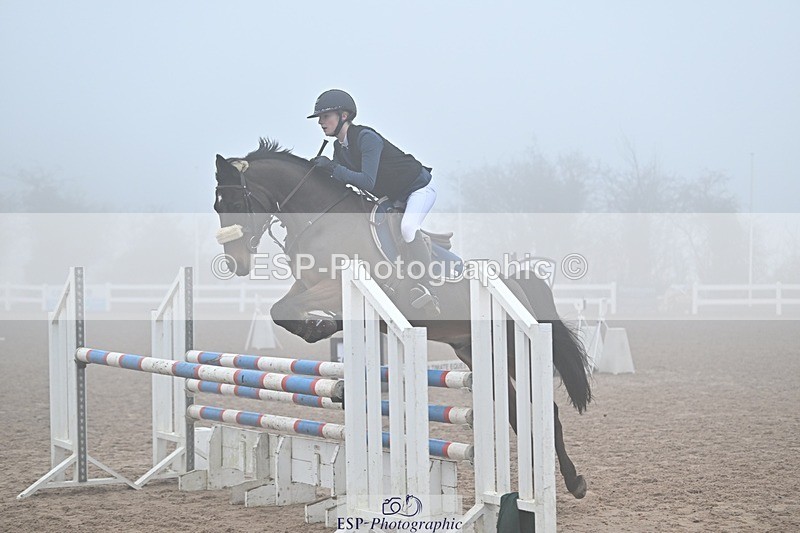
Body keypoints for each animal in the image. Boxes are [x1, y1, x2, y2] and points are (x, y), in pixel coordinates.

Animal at [212, 138, 591, 499]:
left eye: (235, 204)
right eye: (218, 207)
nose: (236, 264)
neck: (320, 221)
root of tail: (516, 284)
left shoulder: (335, 285)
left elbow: (293, 309)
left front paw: (321, 326)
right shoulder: (307, 285)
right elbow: (281, 310)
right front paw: (318, 328)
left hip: (513, 348)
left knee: (548, 411)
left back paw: (572, 482)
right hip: (480, 354)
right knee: (517, 413)